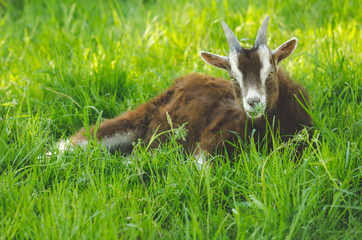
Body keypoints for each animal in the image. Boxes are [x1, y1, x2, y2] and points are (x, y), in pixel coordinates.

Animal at [58, 15, 312, 161]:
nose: (253, 103)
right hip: (137, 118)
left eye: (270, 72)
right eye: (233, 78)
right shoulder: (213, 138)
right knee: (79, 140)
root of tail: (180, 82)